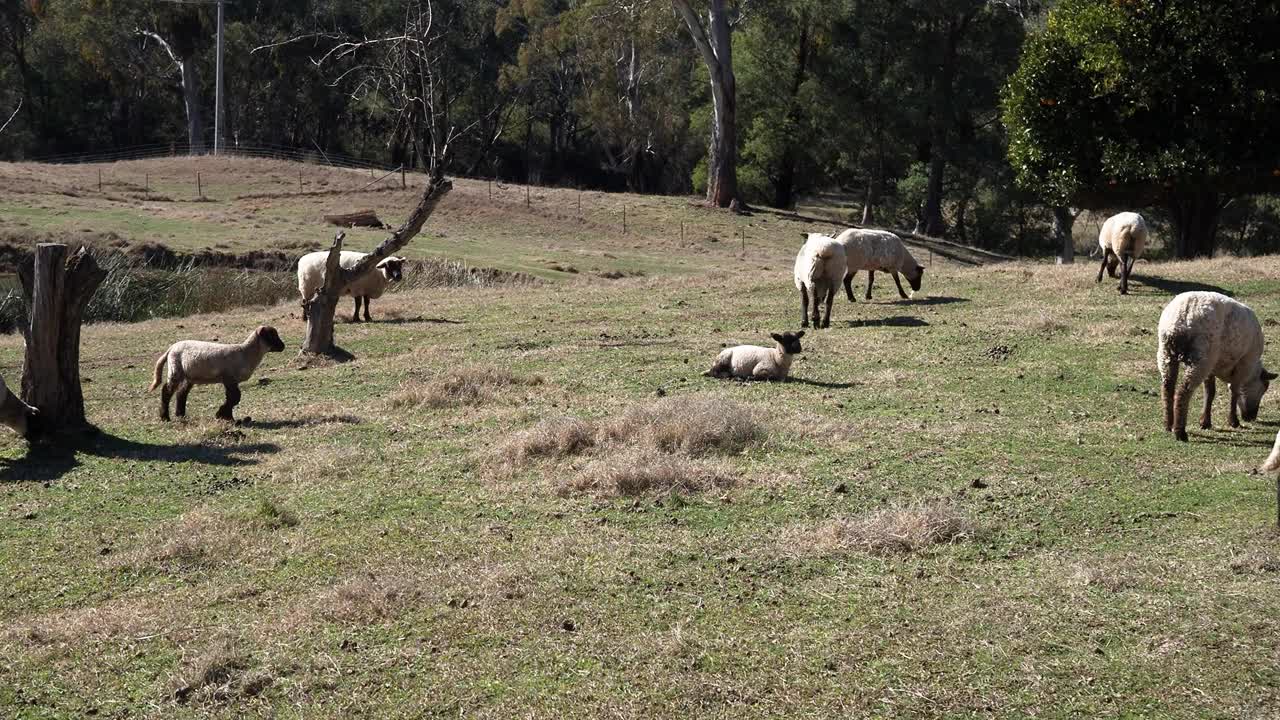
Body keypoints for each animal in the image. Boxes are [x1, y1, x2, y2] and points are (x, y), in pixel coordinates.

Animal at [149, 325, 288, 420]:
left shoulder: (231, 380)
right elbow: (234, 397)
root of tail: (171, 348)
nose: (283, 346)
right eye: (271, 336)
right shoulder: (229, 378)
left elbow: (233, 398)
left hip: (189, 376)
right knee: (167, 391)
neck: (246, 353)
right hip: (175, 369)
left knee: (181, 393)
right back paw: (165, 417)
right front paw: (222, 415)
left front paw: (226, 416)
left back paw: (181, 415)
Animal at [1157, 289, 1274, 438]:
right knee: (1183, 392)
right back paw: (1180, 432)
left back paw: (1168, 425)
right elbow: (1234, 391)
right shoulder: (1243, 364)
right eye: (1264, 387)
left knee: (1167, 388)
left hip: (1167, 353)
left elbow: (1210, 392)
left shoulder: (1212, 366)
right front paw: (1233, 422)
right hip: (1200, 358)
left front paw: (1205, 422)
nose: (1251, 417)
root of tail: (1183, 314)